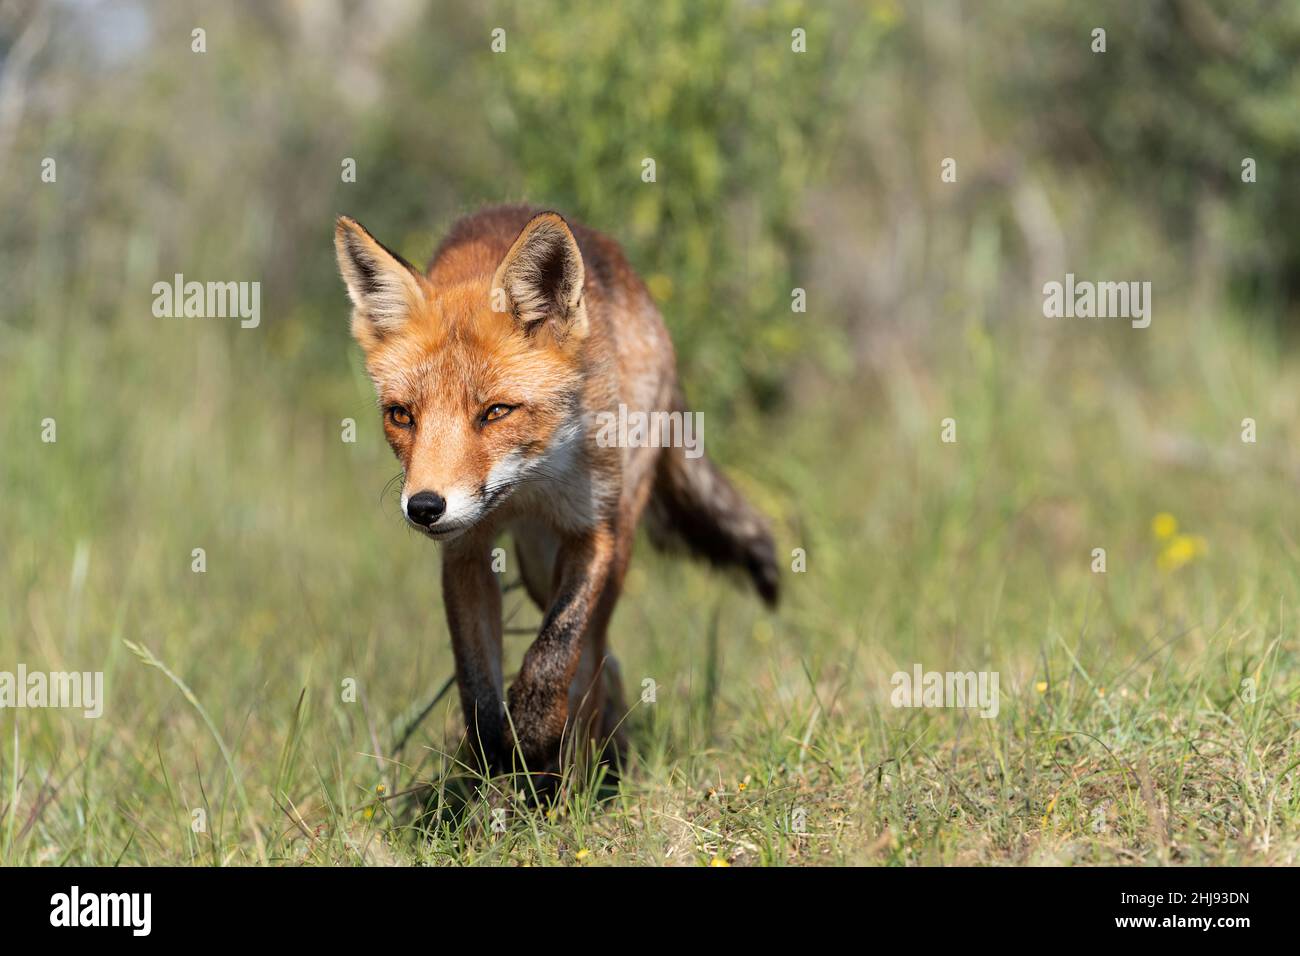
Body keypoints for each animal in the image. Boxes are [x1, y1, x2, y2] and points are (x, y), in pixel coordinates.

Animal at [335, 205, 774, 780]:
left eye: (496, 412)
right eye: (402, 416)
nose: (425, 507)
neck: (527, 486)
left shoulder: (594, 532)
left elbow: (555, 652)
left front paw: (538, 742)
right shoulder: (465, 552)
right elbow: (478, 690)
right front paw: (494, 771)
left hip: (611, 540)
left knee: (593, 653)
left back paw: (585, 770)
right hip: (538, 563)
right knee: (606, 663)